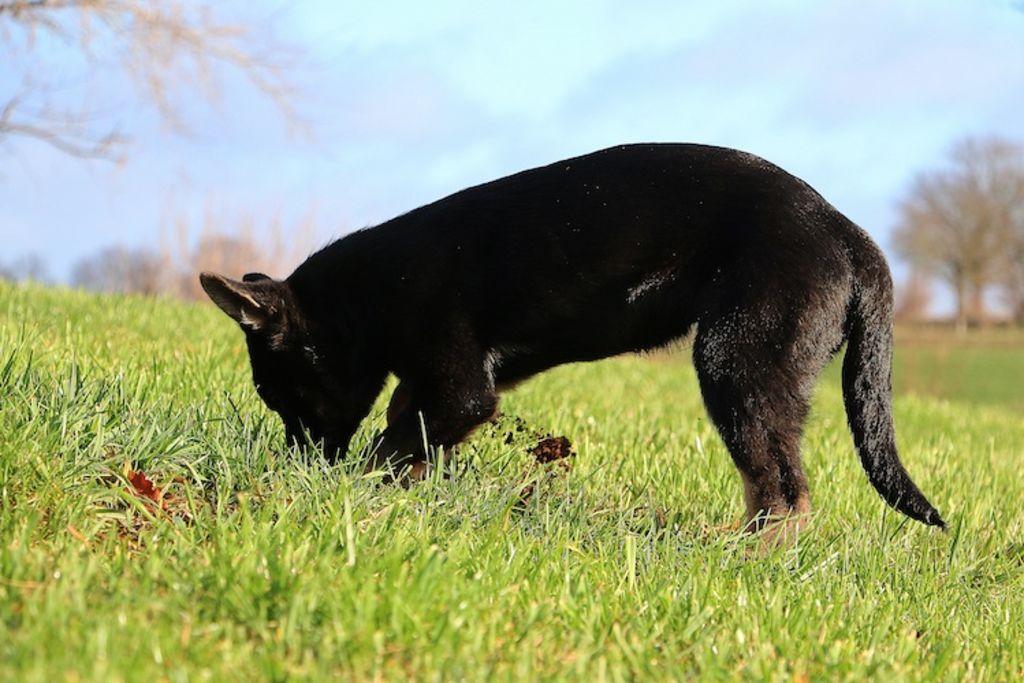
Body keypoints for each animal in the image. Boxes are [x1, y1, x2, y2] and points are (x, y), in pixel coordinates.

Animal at [199, 144, 942, 532]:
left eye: (277, 394)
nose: (298, 471)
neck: (366, 298)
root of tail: (848, 231)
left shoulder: (461, 388)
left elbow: (390, 446)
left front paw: (359, 495)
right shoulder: (433, 386)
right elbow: (408, 434)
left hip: (737, 364)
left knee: (782, 493)